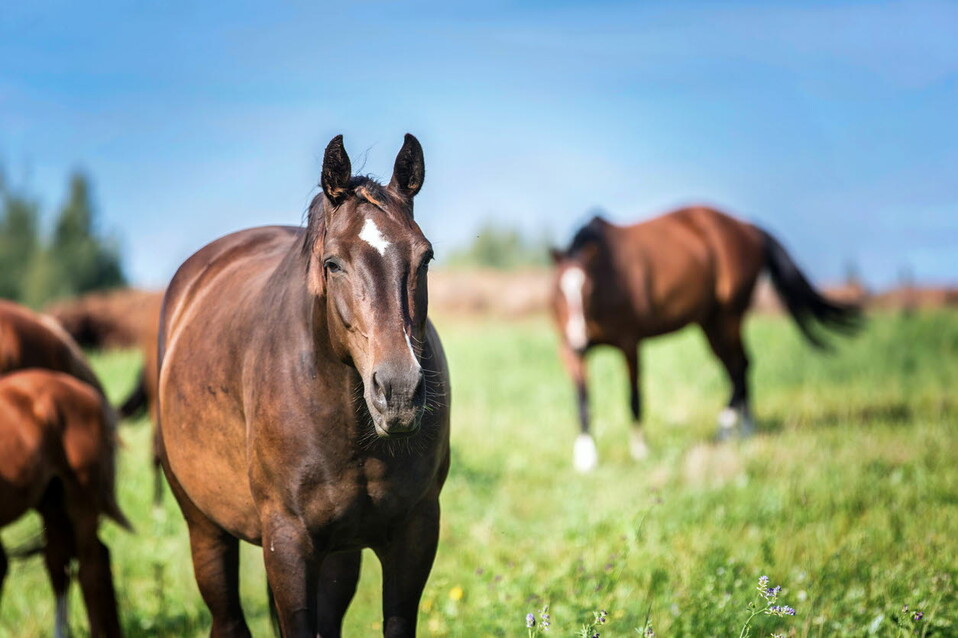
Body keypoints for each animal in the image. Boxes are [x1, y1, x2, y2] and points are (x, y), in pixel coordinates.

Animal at [159, 135, 452, 638]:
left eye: (425, 257)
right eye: (333, 264)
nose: (398, 392)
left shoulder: (414, 534)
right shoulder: (288, 542)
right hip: (206, 529)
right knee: (227, 617)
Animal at [556, 208, 864, 472]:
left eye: (590, 290)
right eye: (558, 291)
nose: (580, 341)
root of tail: (750, 227)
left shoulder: (630, 342)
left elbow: (634, 396)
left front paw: (640, 450)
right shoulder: (568, 350)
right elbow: (582, 399)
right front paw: (585, 457)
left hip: (728, 315)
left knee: (739, 367)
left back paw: (725, 429)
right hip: (711, 322)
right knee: (737, 365)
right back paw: (746, 429)